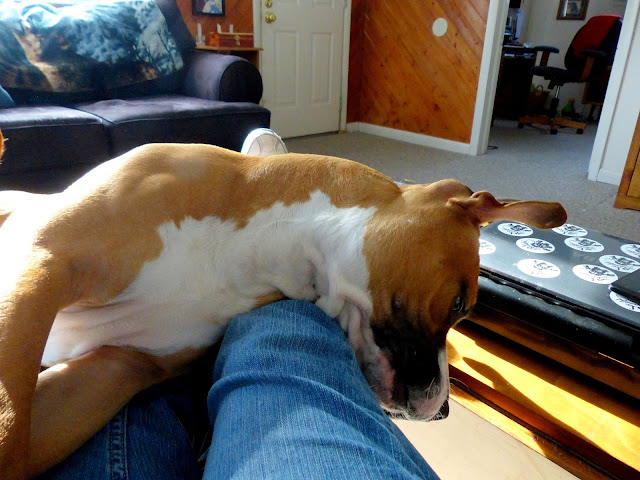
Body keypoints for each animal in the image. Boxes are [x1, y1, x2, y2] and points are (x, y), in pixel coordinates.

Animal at [0, 137, 566, 470]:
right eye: (459, 305)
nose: (445, 410)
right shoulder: (40, 267)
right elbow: (10, 417)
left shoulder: (113, 371)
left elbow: (19, 438)